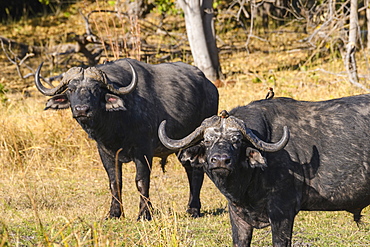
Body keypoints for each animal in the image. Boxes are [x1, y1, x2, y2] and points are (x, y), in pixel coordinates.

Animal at [34, 58, 220, 220]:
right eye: (71, 90)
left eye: (96, 90)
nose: (82, 110)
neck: (116, 124)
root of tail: (209, 86)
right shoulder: (106, 153)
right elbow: (114, 182)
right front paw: (114, 213)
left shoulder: (143, 151)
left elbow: (141, 181)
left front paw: (144, 214)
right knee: (190, 170)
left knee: (196, 172)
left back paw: (194, 209)